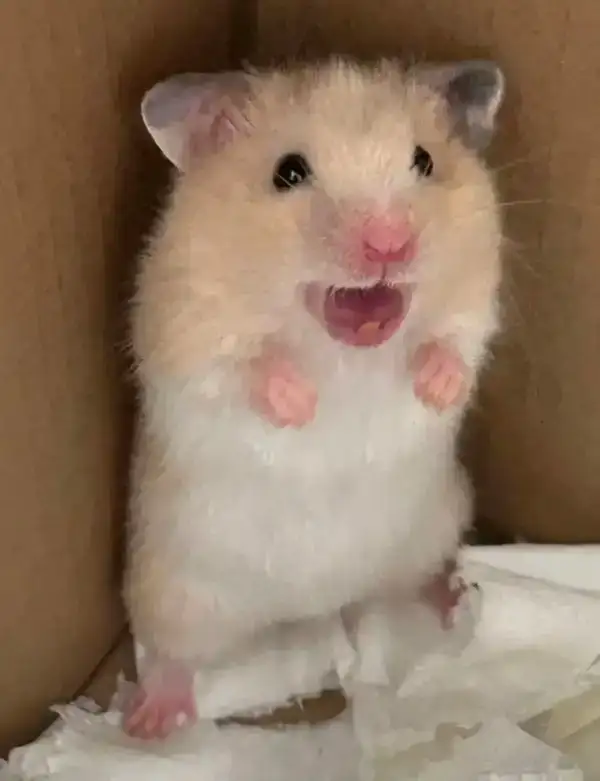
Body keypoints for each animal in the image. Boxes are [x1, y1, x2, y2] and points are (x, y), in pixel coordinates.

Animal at [124, 57, 505, 739]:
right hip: (173, 592)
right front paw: (300, 405)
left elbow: (456, 340)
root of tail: (312, 608)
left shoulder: (475, 298)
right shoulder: (182, 327)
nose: (390, 245)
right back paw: (148, 723)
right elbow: (241, 368)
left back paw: (456, 598)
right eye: (288, 173)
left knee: (418, 581)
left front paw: (435, 388)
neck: (346, 354)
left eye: (425, 161)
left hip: (434, 529)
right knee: (169, 655)